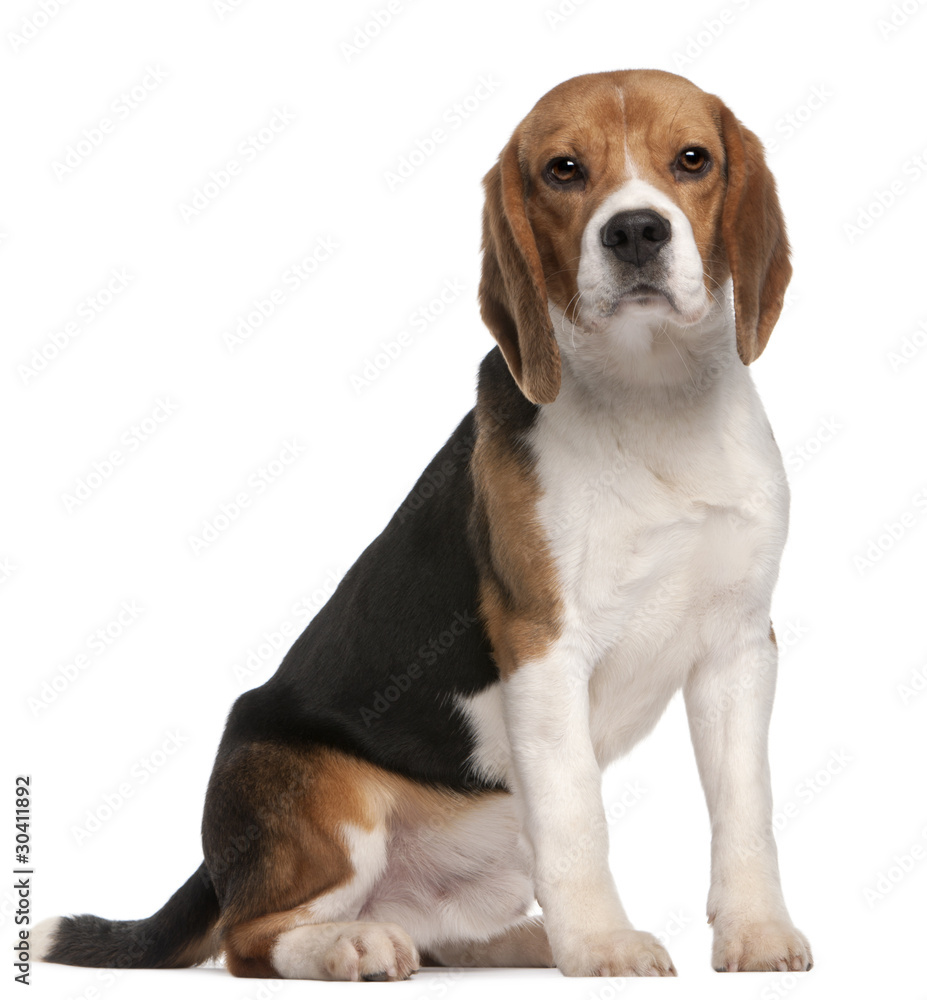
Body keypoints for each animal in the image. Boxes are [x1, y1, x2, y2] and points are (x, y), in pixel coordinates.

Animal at [32, 70, 808, 976]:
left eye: (693, 159)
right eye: (563, 170)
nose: (635, 231)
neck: (652, 398)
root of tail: (221, 860)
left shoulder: (738, 645)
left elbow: (744, 809)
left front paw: (754, 931)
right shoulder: (544, 645)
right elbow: (578, 819)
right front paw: (603, 944)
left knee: (436, 934)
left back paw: (519, 939)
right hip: (333, 803)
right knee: (249, 939)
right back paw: (352, 944)